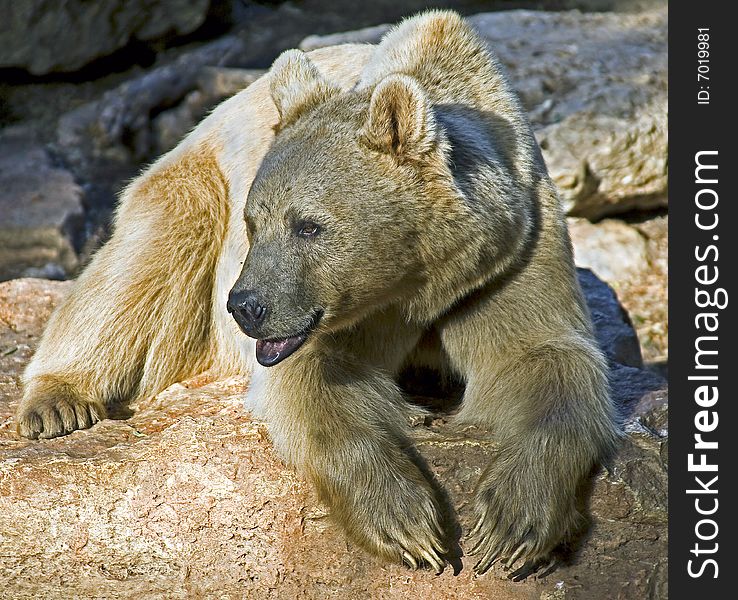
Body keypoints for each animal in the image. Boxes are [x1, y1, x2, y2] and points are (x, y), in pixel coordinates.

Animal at [15, 12, 616, 576]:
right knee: (144, 262)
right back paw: (58, 402)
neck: (420, 279)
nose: (246, 306)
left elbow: (543, 357)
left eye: (308, 226)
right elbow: (317, 379)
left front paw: (512, 525)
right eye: (255, 223)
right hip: (192, 184)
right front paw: (406, 522)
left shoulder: (509, 258)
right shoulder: (341, 313)